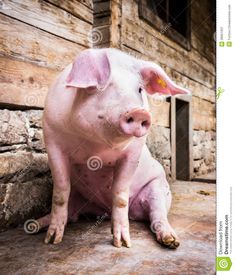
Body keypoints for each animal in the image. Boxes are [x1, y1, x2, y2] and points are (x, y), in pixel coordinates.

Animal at [24, 48, 190, 249]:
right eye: (106, 86)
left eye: (139, 89)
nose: (139, 112)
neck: (95, 147)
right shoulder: (52, 139)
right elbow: (61, 191)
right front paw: (52, 241)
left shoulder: (133, 152)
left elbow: (120, 194)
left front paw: (123, 244)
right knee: (71, 213)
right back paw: (34, 226)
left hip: (159, 187)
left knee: (157, 214)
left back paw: (172, 241)